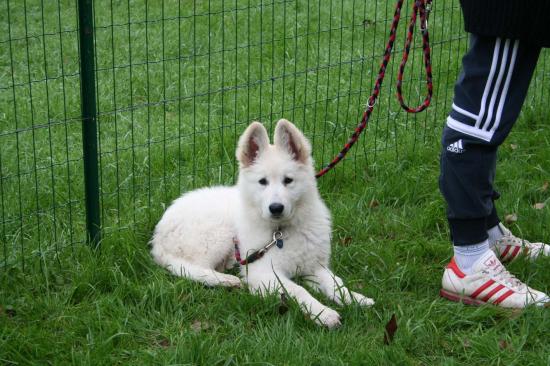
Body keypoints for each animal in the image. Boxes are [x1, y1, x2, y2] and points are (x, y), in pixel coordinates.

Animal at [151, 118, 376, 328]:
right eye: (262, 182)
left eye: (288, 180)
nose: (276, 208)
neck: (281, 232)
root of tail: (158, 234)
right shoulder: (264, 272)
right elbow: (299, 290)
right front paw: (323, 313)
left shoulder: (314, 267)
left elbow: (336, 283)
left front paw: (356, 299)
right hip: (217, 235)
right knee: (190, 268)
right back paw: (226, 280)